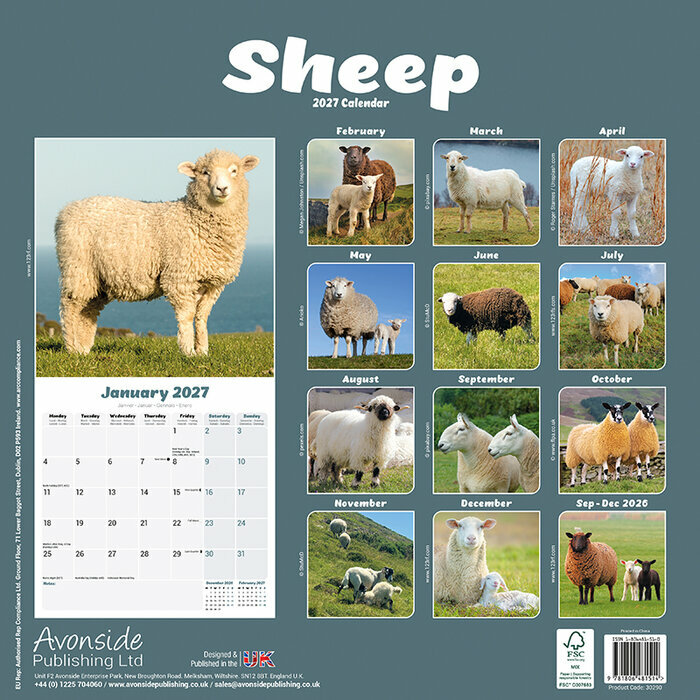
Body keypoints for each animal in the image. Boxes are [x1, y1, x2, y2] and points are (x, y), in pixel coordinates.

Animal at [55, 149, 260, 356]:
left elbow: (202, 316)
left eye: (234, 171)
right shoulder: (179, 278)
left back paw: (83, 348)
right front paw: (188, 352)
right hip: (78, 268)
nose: (222, 188)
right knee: (70, 307)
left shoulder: (213, 284)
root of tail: (66, 210)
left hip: (98, 278)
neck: (194, 219)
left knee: (88, 310)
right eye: (205, 172)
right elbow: (187, 316)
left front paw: (203, 352)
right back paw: (72, 348)